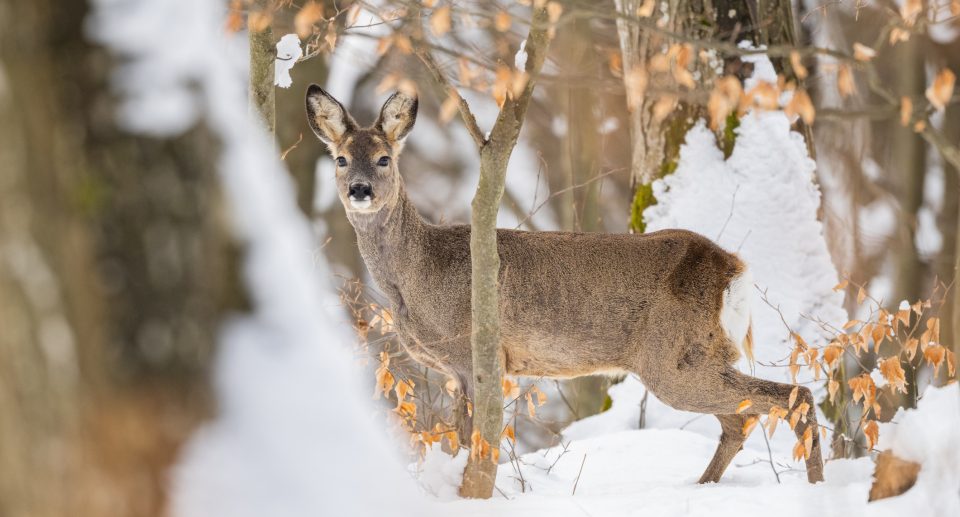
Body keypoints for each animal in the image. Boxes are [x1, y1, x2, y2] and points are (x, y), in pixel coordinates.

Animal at [306, 84, 824, 484]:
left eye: (383, 158)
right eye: (340, 159)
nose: (359, 190)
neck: (415, 279)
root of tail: (733, 267)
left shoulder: (476, 353)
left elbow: (474, 440)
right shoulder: (455, 368)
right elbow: (459, 437)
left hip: (674, 358)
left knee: (790, 396)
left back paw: (816, 486)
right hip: (698, 355)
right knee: (742, 418)